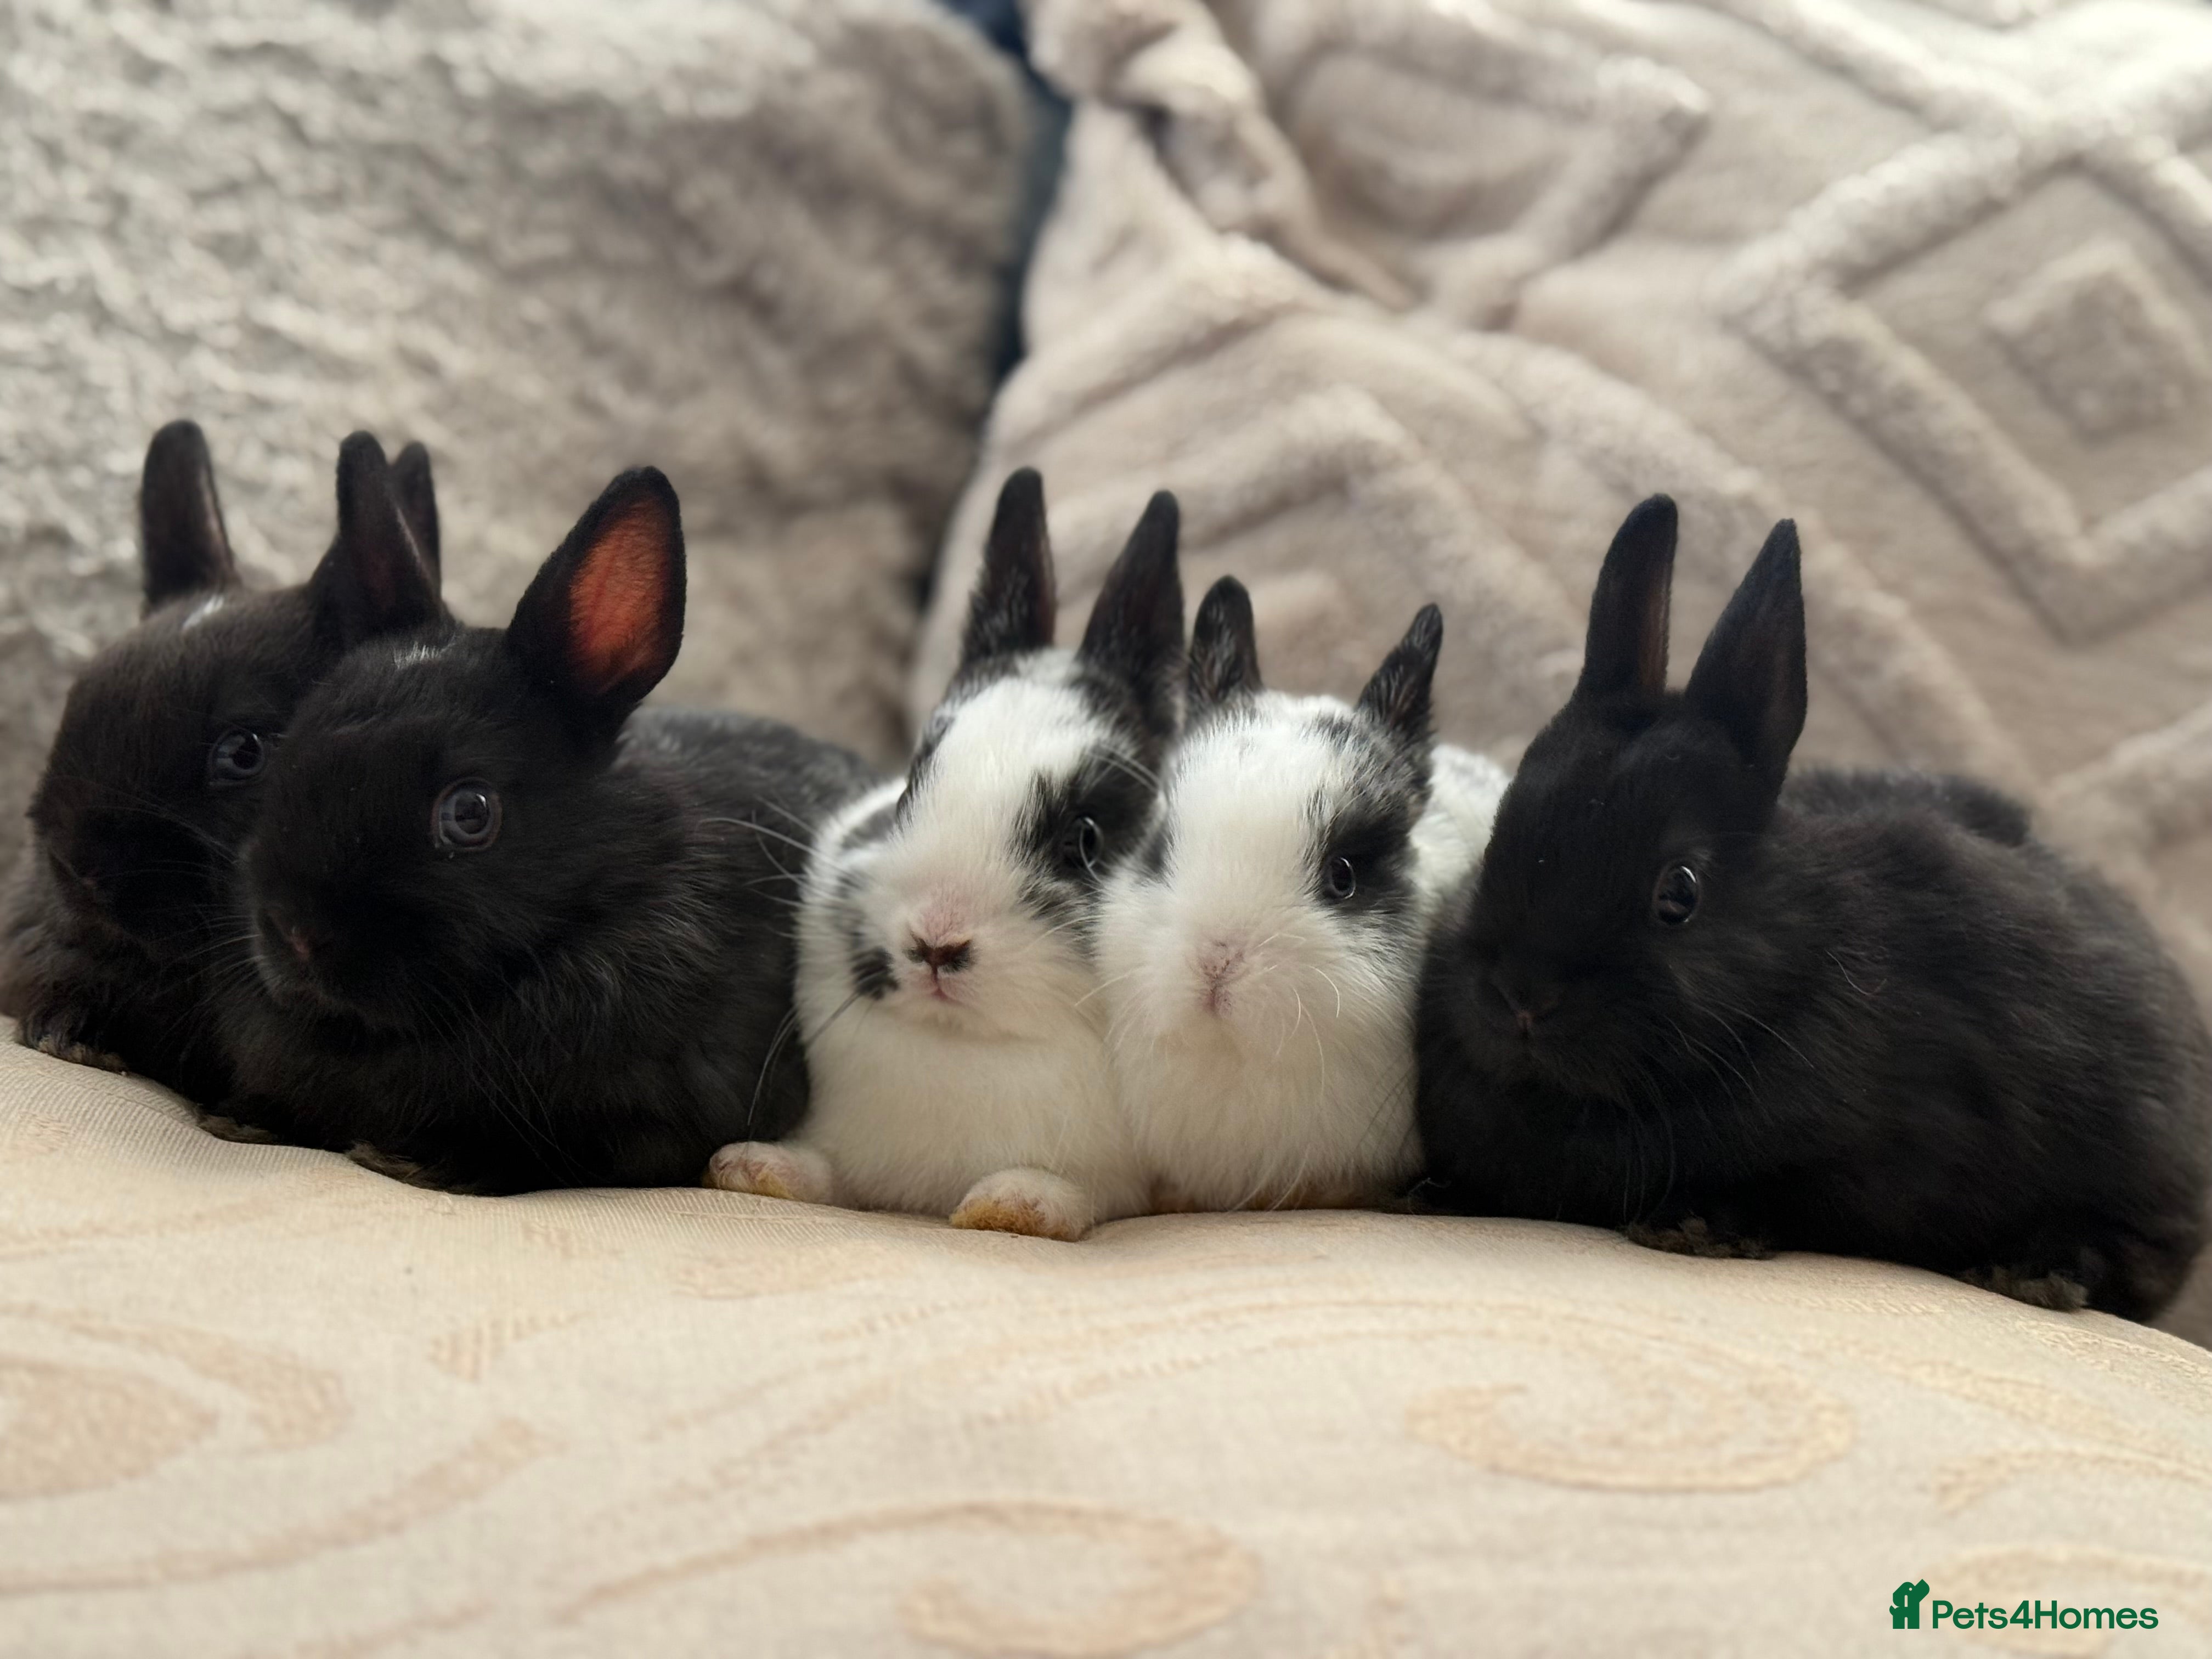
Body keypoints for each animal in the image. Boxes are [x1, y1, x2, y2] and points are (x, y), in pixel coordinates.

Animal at [212, 465, 879, 1193]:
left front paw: (418, 1159)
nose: (297, 933)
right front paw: (246, 1117)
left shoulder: (657, 1122)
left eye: (470, 812)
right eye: (289, 752)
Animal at [705, 469, 1183, 1240]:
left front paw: (1014, 1204)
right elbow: (826, 1173)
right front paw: (754, 1168)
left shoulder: (1122, 1180)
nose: (935, 942)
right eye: (909, 790)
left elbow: (1083, 1193)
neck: (965, 1044)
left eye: (1085, 840)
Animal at [1414, 495, 2212, 1320]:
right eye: (1499, 838)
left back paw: (2036, 1268)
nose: (1523, 998)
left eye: (1680, 892)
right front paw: (1435, 1190)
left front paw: (1697, 1226)